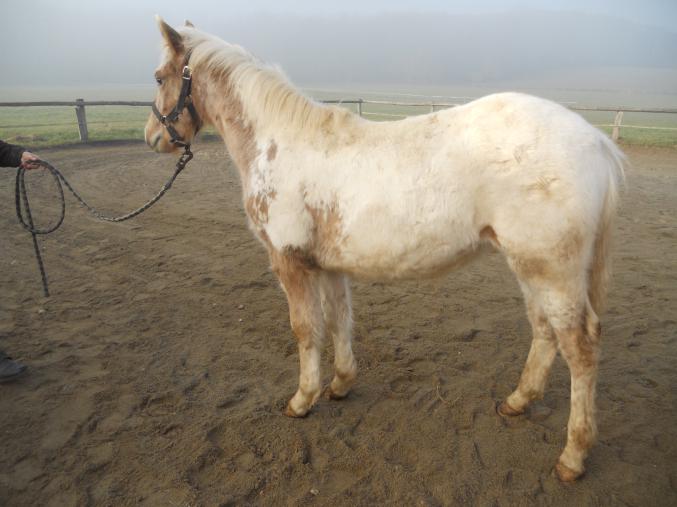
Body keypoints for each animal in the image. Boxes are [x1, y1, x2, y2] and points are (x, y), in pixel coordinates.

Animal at [145, 18, 625, 482]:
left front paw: (302, 400)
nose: (152, 137)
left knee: (579, 347)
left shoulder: (289, 263)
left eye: (158, 76)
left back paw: (573, 457)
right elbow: (339, 320)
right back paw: (518, 401)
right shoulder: (328, 265)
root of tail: (596, 142)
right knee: (544, 330)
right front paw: (340, 385)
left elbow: (305, 329)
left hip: (551, 270)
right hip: (530, 266)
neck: (279, 144)